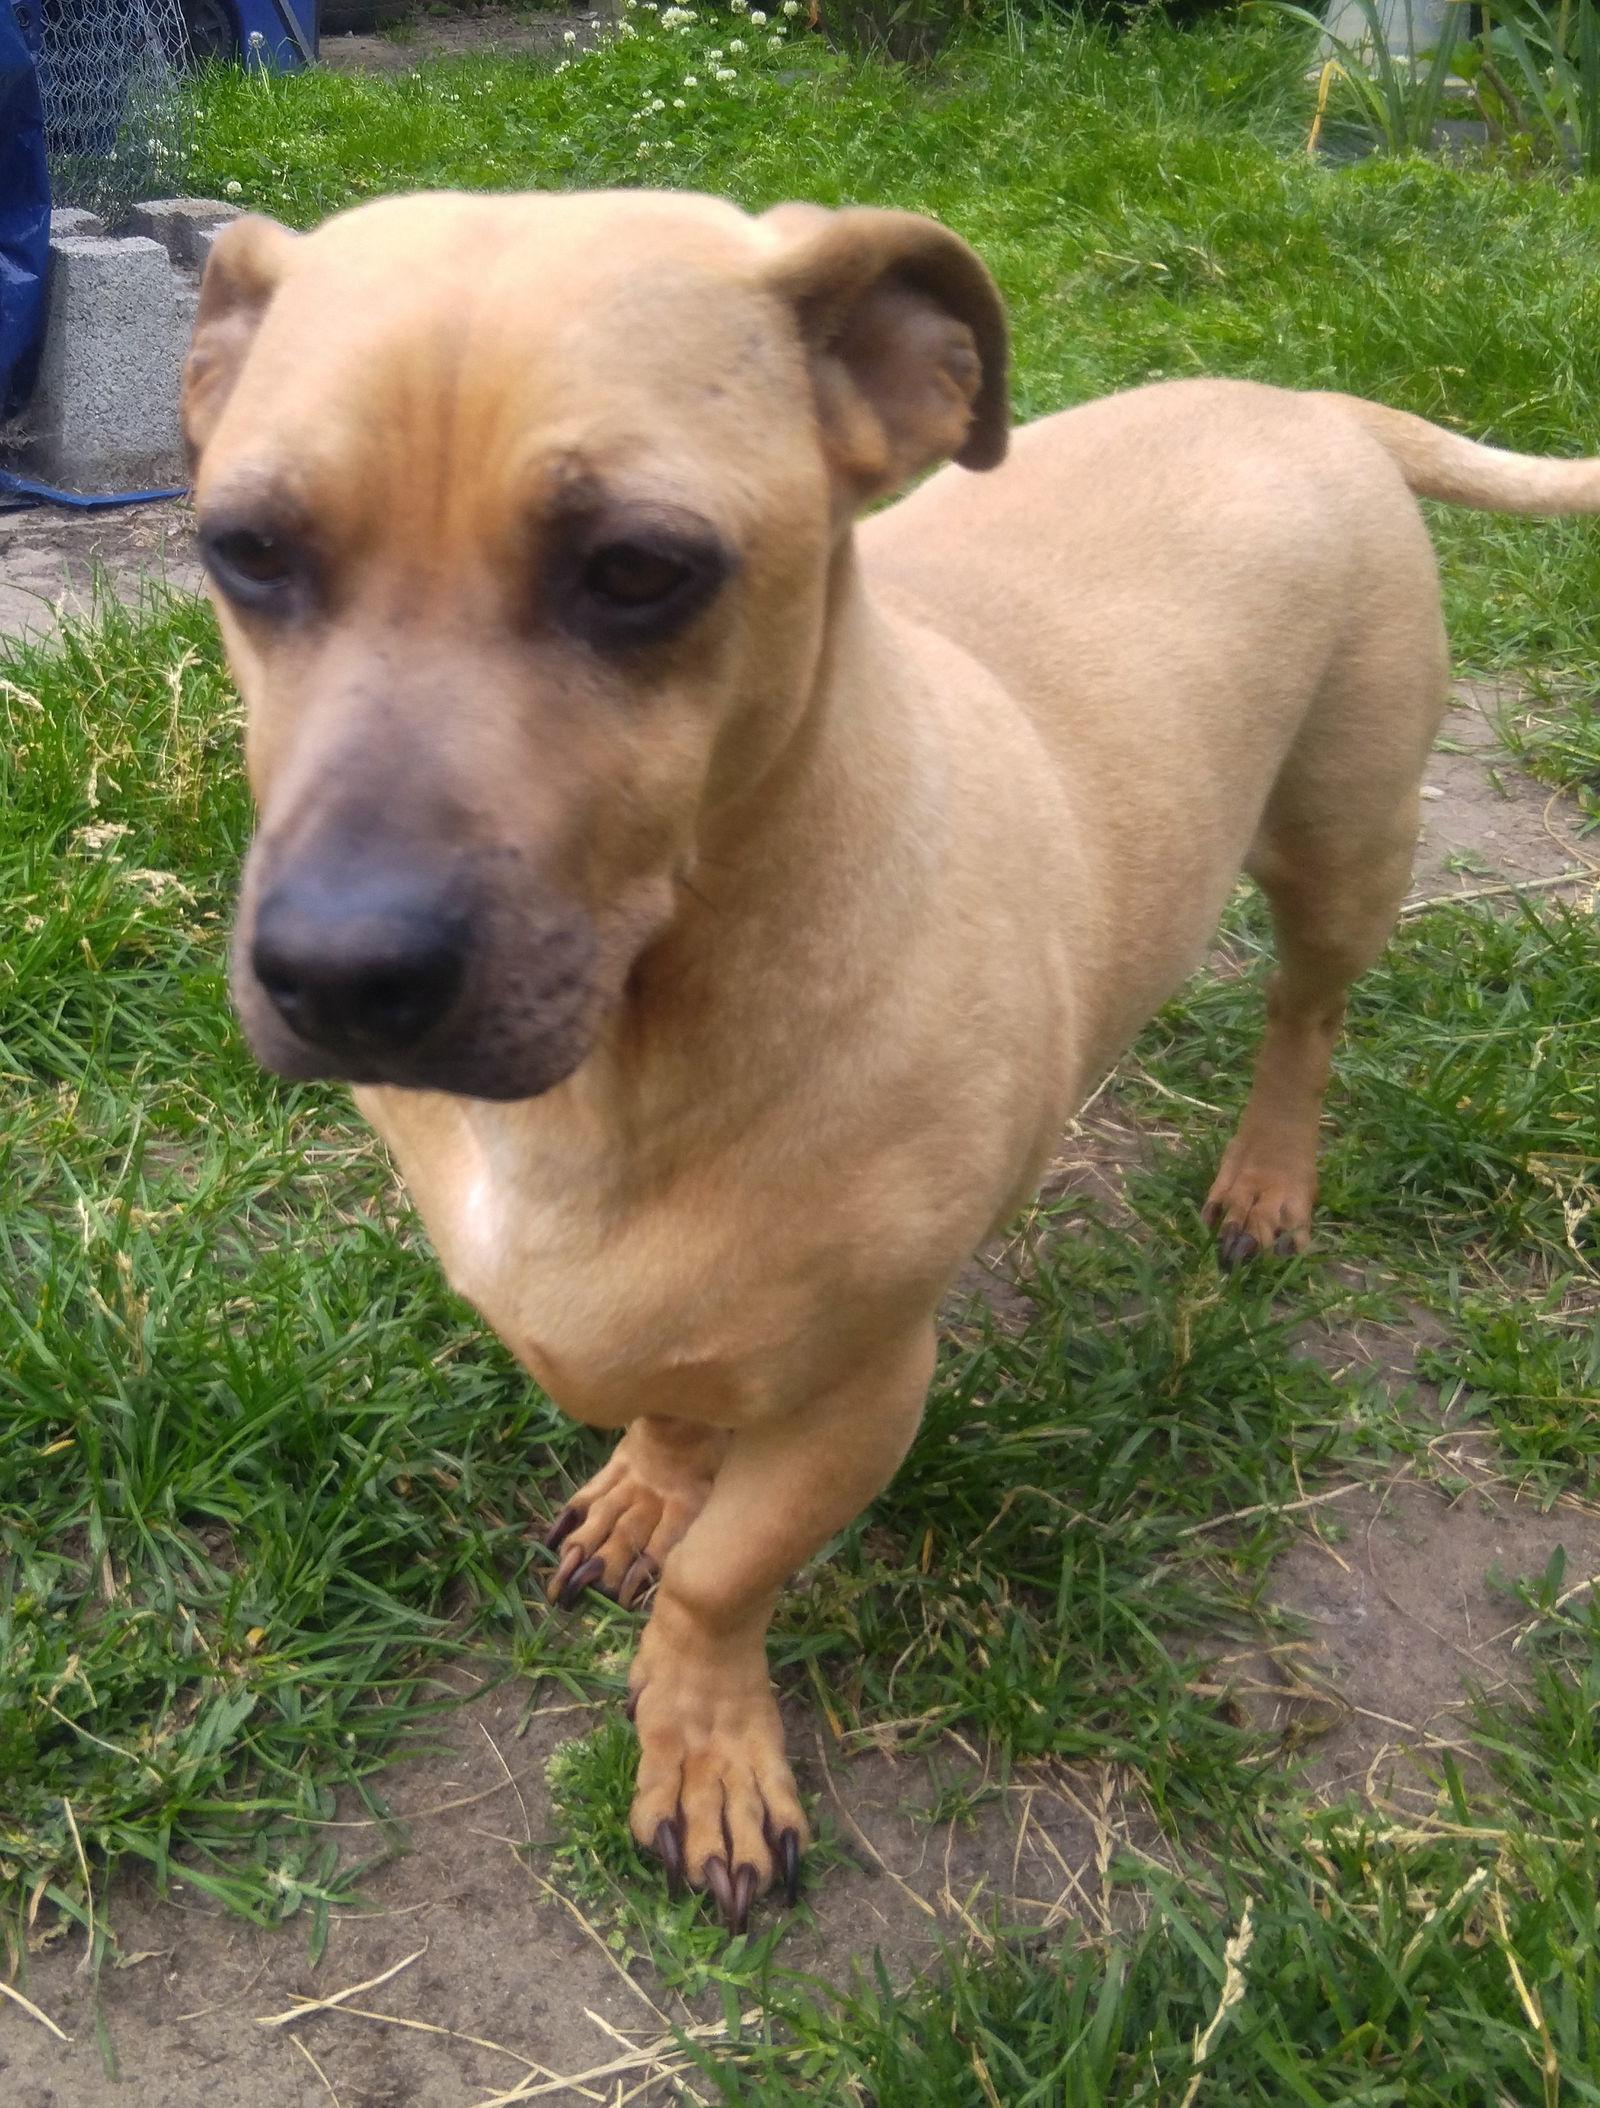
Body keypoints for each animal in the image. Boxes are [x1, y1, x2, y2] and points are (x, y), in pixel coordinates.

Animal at [181, 185, 1600, 1930]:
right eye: (244, 549)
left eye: (641, 568)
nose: (336, 972)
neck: (637, 1046)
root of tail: (1311, 402)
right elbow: (673, 1417)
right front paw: (654, 1481)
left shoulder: (861, 1390)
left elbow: (723, 1582)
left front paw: (707, 1750)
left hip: (1345, 847)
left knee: (1307, 1018)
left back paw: (1270, 1175)